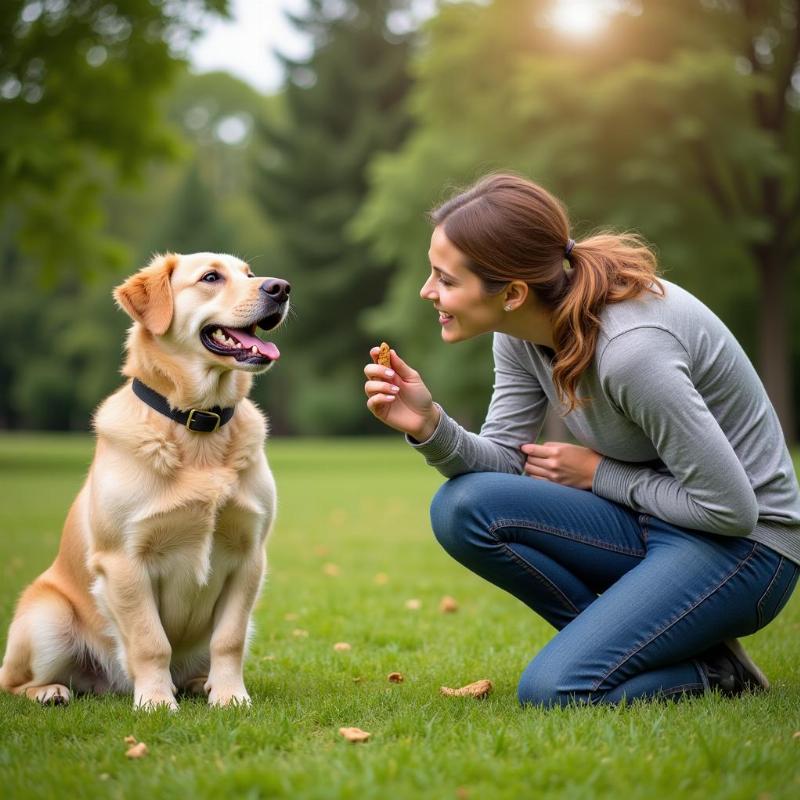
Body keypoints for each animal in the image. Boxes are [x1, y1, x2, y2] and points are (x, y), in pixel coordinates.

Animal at [1, 255, 290, 708]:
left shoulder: (248, 557)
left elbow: (228, 639)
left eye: (249, 274)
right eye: (211, 277)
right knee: (13, 681)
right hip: (47, 618)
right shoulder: (124, 560)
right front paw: (155, 702)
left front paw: (229, 696)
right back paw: (51, 691)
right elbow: (150, 641)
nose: (280, 288)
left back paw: (199, 683)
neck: (197, 425)